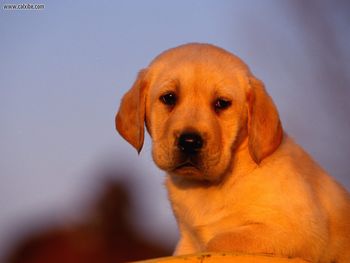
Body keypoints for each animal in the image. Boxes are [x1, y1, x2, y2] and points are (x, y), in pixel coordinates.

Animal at [115, 43, 350, 263]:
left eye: (221, 103)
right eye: (169, 98)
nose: (189, 142)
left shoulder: (299, 231)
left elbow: (217, 242)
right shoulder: (186, 241)